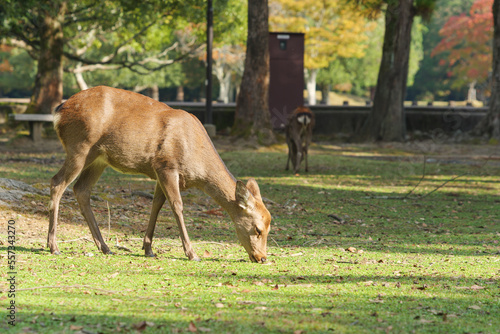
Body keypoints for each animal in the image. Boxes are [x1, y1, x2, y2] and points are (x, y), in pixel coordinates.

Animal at [47, 86, 272, 264]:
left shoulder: (159, 172)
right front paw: (192, 253)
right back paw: (53, 246)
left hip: (99, 159)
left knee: (81, 189)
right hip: (79, 146)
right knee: (57, 183)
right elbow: (177, 206)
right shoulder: (167, 166)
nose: (262, 257)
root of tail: (59, 111)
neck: (196, 165)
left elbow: (156, 205)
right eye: (258, 229)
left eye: (269, 228)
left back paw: (104, 247)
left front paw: (148, 249)